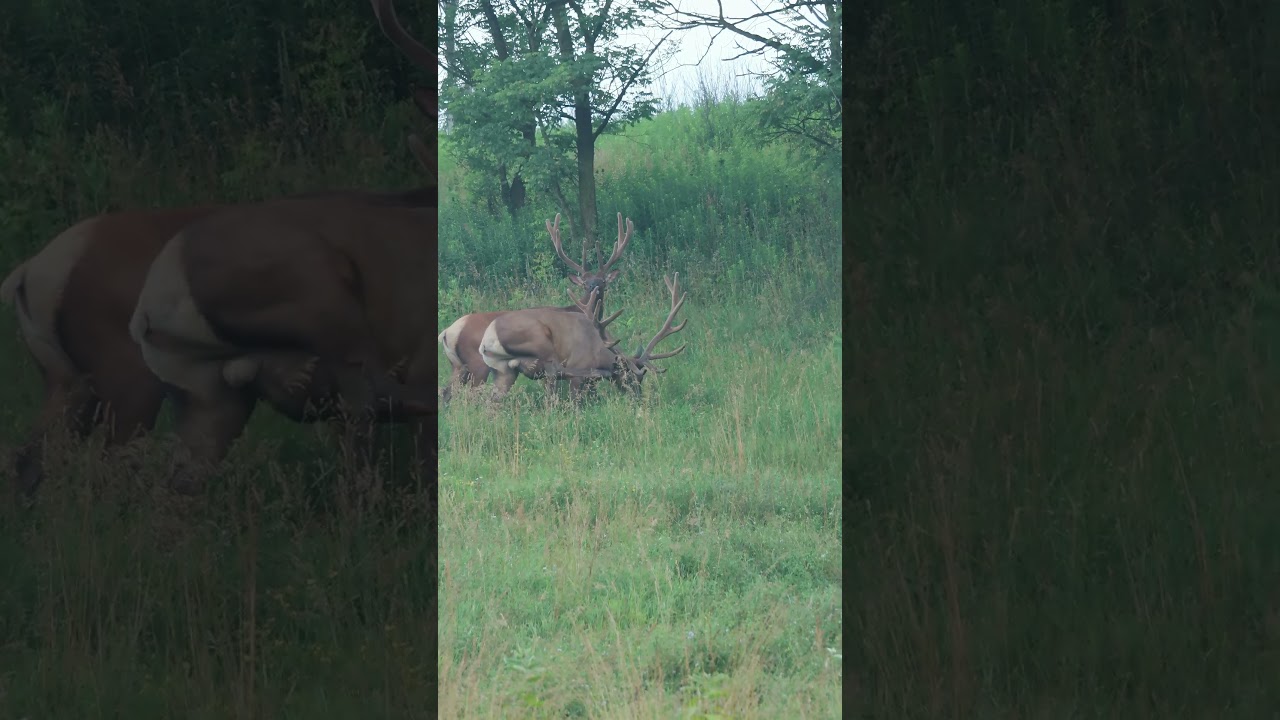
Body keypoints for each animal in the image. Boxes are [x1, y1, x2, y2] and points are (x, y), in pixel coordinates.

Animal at [438, 212, 634, 402]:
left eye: (603, 282)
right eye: (585, 284)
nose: (595, 288)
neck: (579, 310)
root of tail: (448, 332)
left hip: (458, 366)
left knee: (446, 392)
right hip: (478, 364)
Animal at [479, 273, 688, 403]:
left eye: (641, 379)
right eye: (629, 377)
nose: (638, 399)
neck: (598, 351)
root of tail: (488, 337)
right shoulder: (579, 374)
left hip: (503, 371)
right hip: (542, 348)